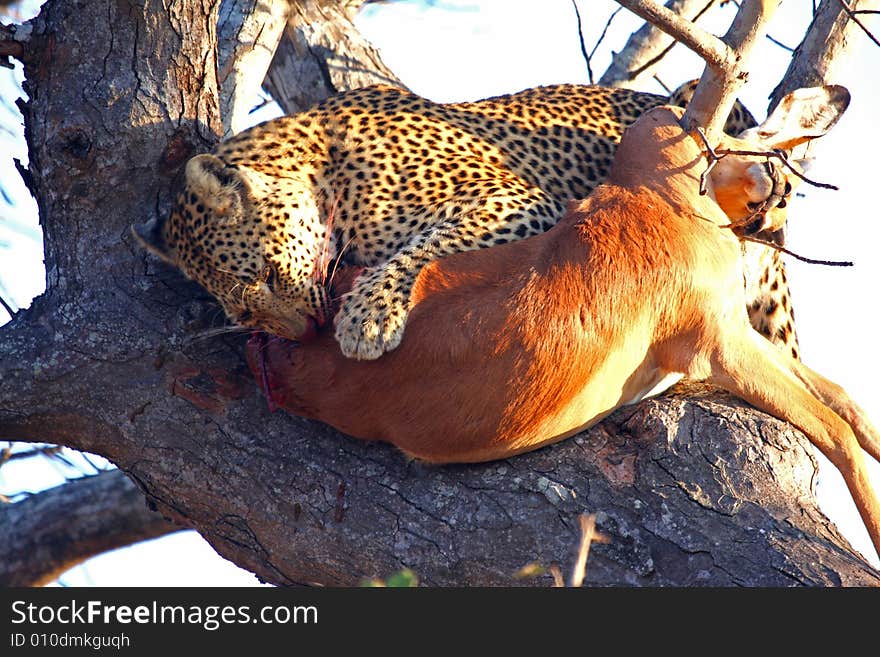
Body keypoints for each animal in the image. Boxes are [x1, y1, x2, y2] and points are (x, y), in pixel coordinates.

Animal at [132, 82, 796, 362]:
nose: (304, 333)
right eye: (246, 315)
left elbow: (423, 245)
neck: (325, 174)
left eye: (269, 274)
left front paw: (367, 318)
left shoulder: (514, 197)